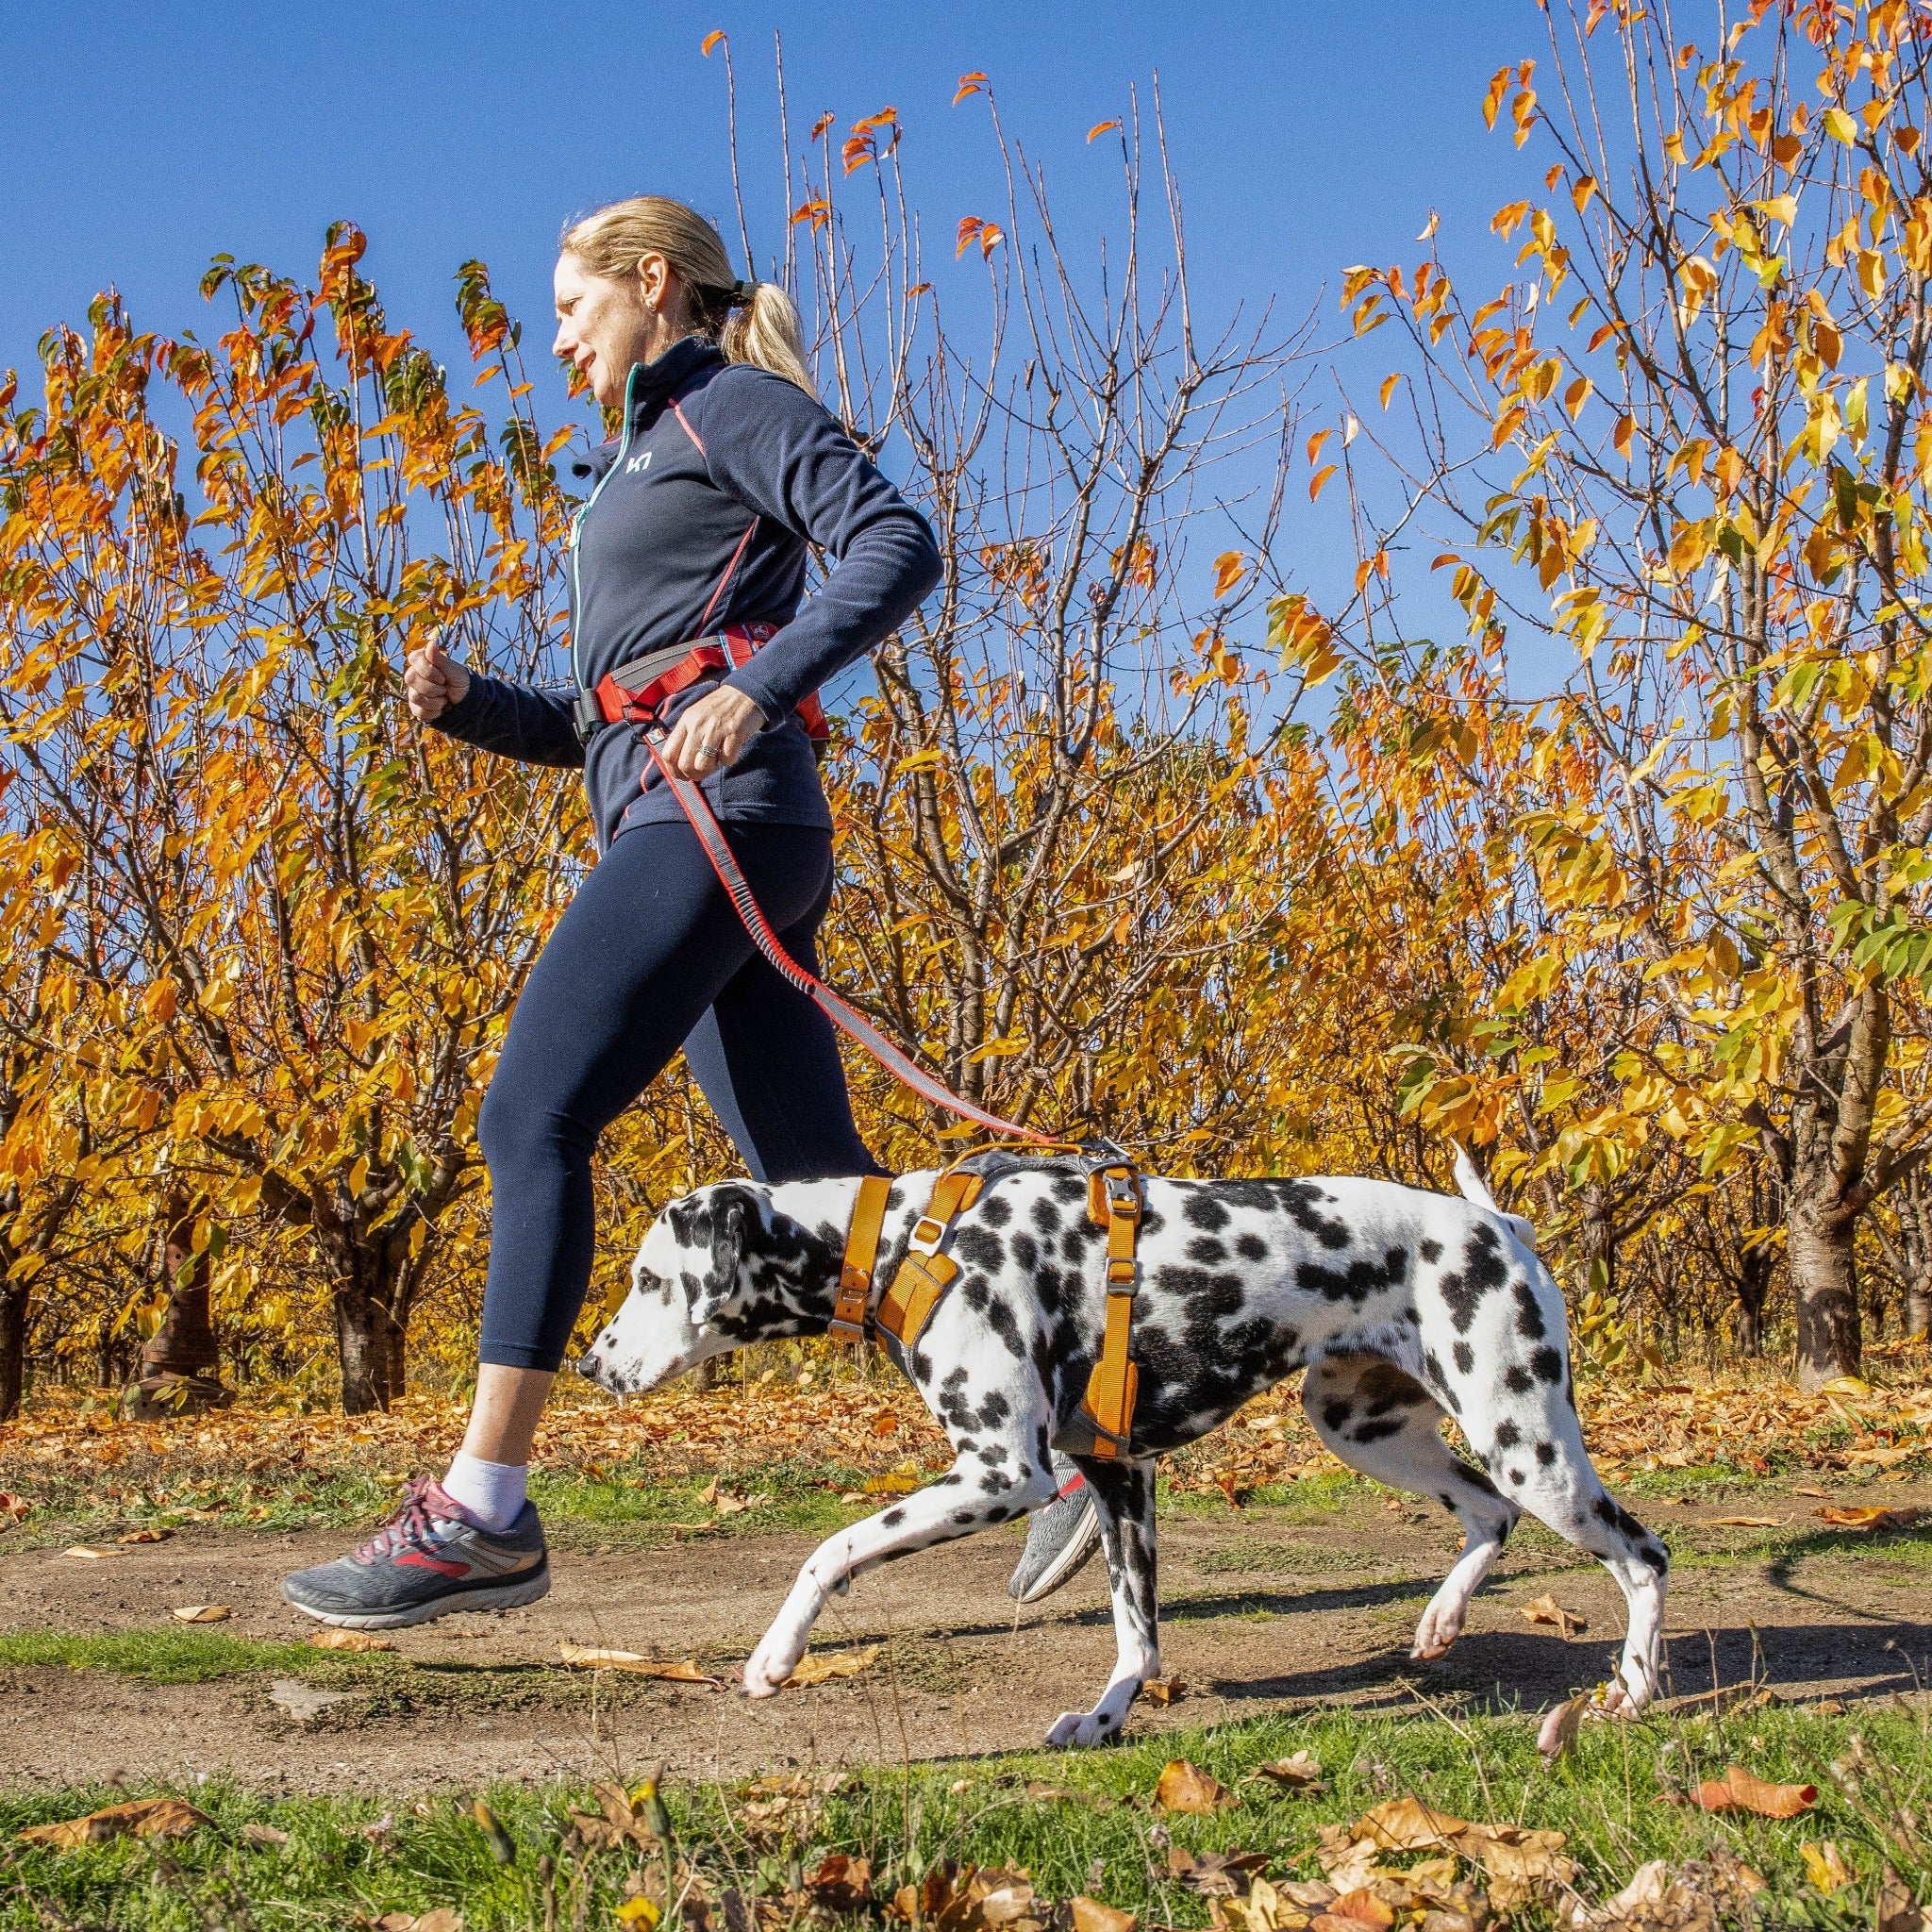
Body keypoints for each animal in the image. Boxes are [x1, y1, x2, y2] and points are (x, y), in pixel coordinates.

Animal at [568, 1143, 1661, 1754]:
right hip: (1370, 1430)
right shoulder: (1116, 1473)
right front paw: (1104, 1721)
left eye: (648, 1278)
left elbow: (829, 1548)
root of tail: (1496, 1221)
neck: (905, 1242)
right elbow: (1137, 1636)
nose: (589, 1361)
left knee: (1640, 1553)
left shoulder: (1000, 1472)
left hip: (1525, 1439)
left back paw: (1638, 1684)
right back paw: (1440, 1618)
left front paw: (775, 1655)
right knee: (1489, 1514)